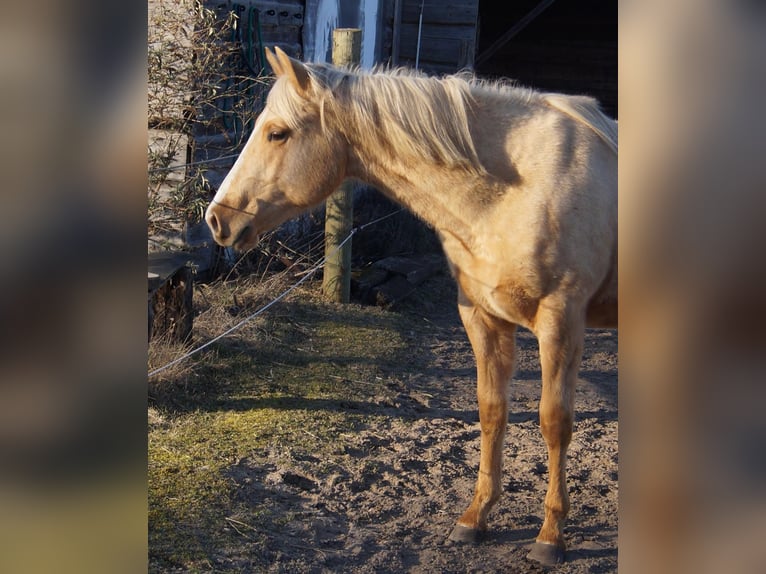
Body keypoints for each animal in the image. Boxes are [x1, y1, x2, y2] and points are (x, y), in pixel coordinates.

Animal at [207, 46, 620, 568]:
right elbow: (492, 412)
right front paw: (475, 518)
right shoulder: (481, 318)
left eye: (277, 133)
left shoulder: (560, 323)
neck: (520, 189)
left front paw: (551, 536)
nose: (217, 220)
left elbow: (553, 423)